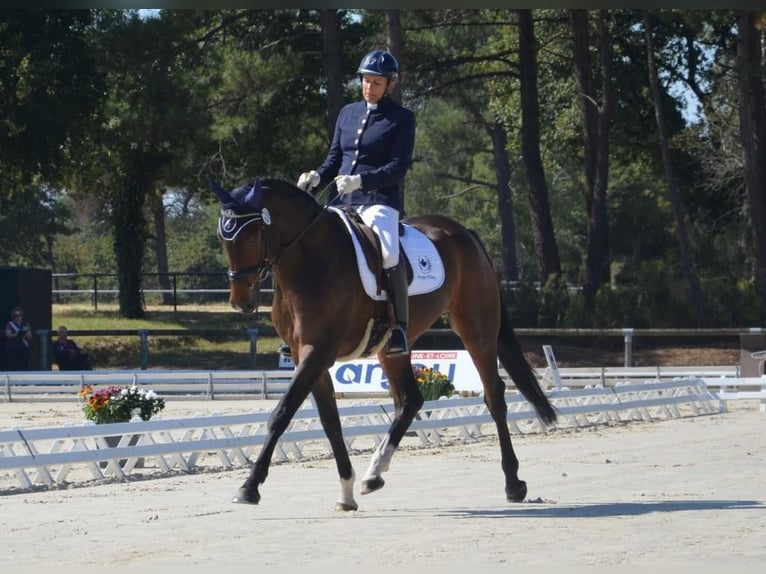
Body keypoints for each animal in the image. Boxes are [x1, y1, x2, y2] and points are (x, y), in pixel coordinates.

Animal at [210, 177, 560, 512]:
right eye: (223, 240)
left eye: (252, 238)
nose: (241, 302)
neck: (310, 259)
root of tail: (464, 233)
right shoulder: (304, 355)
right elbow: (330, 422)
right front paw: (346, 492)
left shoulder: (317, 352)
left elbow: (281, 413)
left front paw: (249, 487)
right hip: (392, 348)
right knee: (410, 400)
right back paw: (374, 473)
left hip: (476, 329)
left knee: (494, 396)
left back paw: (514, 483)